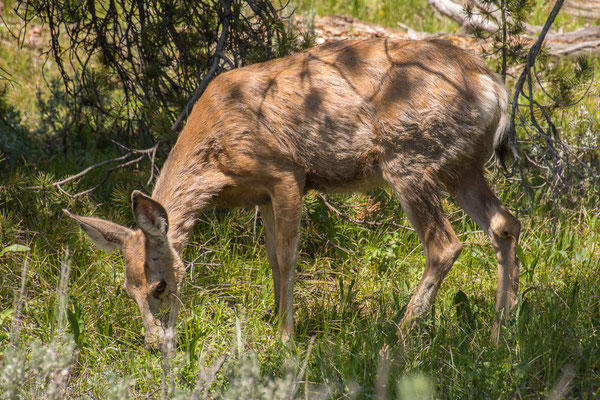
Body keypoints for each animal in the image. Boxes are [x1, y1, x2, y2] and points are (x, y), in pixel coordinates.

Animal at [67, 39, 520, 348]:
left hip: (409, 157)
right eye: (128, 290)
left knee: (445, 244)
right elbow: (269, 256)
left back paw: (399, 336)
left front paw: (285, 335)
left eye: (160, 286)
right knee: (505, 223)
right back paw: (501, 331)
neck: (217, 154)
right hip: (461, 166)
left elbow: (287, 256)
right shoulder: (261, 194)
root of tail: (493, 87)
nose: (155, 344)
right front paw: (271, 320)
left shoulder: (286, 172)